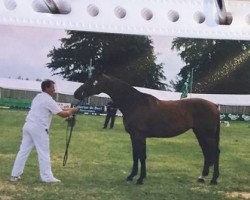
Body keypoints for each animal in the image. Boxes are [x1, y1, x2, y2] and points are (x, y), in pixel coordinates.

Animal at [74, 72, 221, 184]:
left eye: (93, 82)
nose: (77, 93)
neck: (134, 103)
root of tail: (214, 105)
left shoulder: (139, 136)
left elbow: (142, 156)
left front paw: (140, 179)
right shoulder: (133, 136)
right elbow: (135, 155)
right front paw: (131, 176)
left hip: (207, 135)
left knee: (214, 153)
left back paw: (213, 180)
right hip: (200, 133)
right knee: (207, 153)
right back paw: (202, 177)